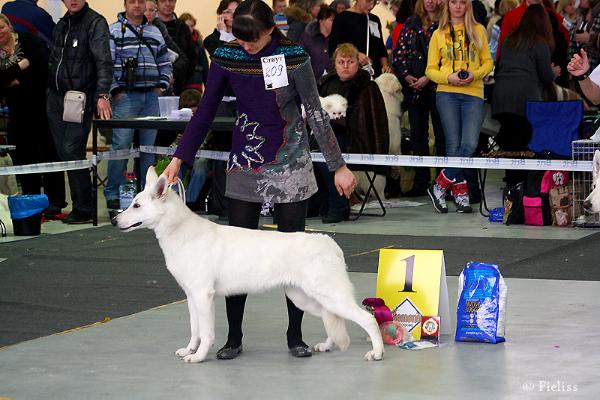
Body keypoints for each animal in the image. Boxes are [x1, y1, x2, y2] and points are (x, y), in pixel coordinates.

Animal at [112, 167, 384, 364]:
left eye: (136, 205)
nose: (114, 221)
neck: (180, 232)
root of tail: (329, 242)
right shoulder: (191, 297)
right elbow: (195, 330)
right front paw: (189, 350)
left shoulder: (203, 296)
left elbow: (206, 333)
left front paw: (198, 357)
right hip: (304, 298)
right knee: (331, 317)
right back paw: (327, 346)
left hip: (329, 295)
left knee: (367, 319)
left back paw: (377, 353)